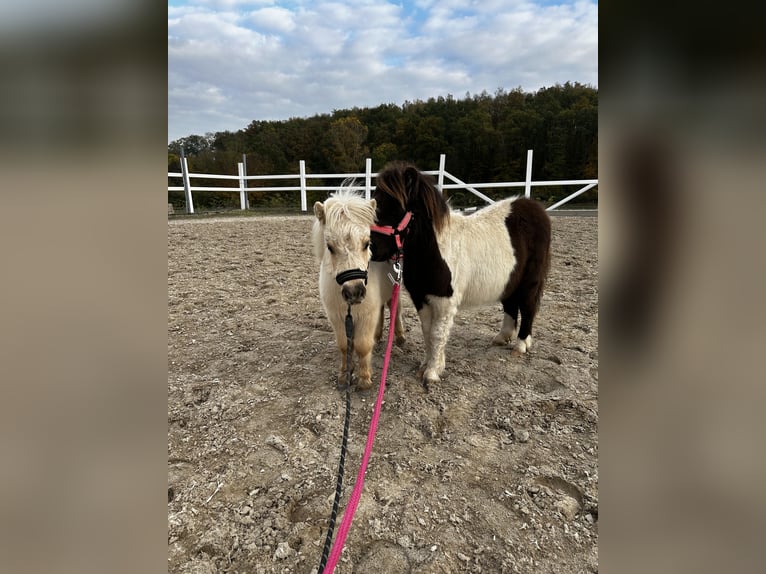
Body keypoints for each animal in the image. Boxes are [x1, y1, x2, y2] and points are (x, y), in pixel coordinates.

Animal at [312, 189, 408, 392]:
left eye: (366, 243)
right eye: (330, 247)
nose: (354, 292)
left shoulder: (366, 316)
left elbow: (362, 346)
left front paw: (364, 379)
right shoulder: (338, 317)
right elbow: (344, 346)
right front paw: (344, 375)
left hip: (393, 291)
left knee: (395, 309)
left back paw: (400, 337)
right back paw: (378, 337)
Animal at [370, 160, 552, 390]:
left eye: (394, 207)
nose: (371, 248)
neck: (434, 252)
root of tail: (535, 208)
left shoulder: (445, 302)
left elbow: (438, 334)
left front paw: (432, 372)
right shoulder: (421, 299)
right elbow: (428, 331)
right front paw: (428, 364)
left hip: (530, 281)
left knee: (528, 308)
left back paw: (520, 345)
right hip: (509, 280)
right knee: (511, 305)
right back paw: (502, 337)